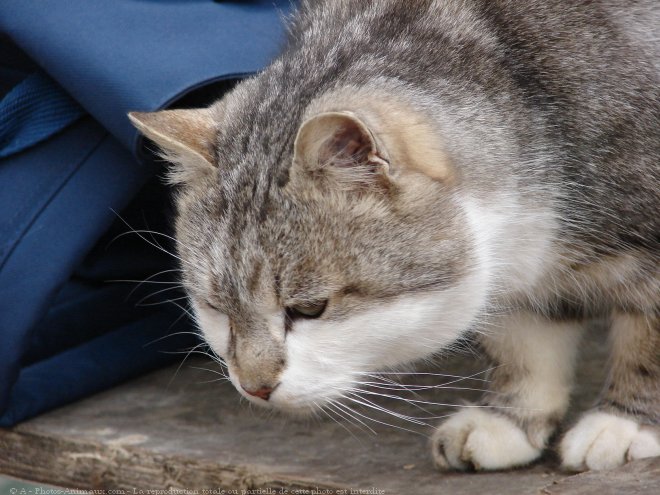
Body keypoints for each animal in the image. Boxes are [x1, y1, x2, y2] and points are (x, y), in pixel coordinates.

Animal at [130, 0, 660, 472]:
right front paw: (510, 418)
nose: (255, 387)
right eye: (215, 307)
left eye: (310, 309)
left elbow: (648, 340)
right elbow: (524, 337)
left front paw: (626, 422)